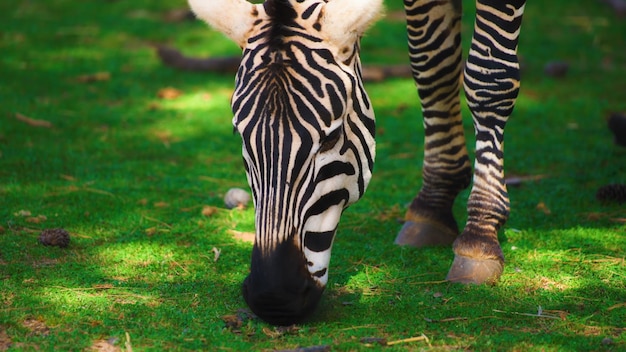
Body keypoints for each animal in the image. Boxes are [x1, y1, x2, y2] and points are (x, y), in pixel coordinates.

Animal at [188, 0, 524, 326]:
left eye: (331, 137)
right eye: (239, 134)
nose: (273, 297)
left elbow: (489, 78)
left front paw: (480, 232)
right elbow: (432, 67)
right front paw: (433, 204)